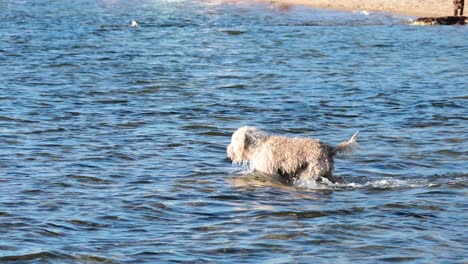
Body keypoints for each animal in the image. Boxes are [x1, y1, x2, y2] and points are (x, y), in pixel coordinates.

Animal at [227, 126, 358, 184]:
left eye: (233, 140)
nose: (227, 150)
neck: (258, 145)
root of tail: (330, 148)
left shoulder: (269, 171)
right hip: (327, 172)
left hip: (311, 172)